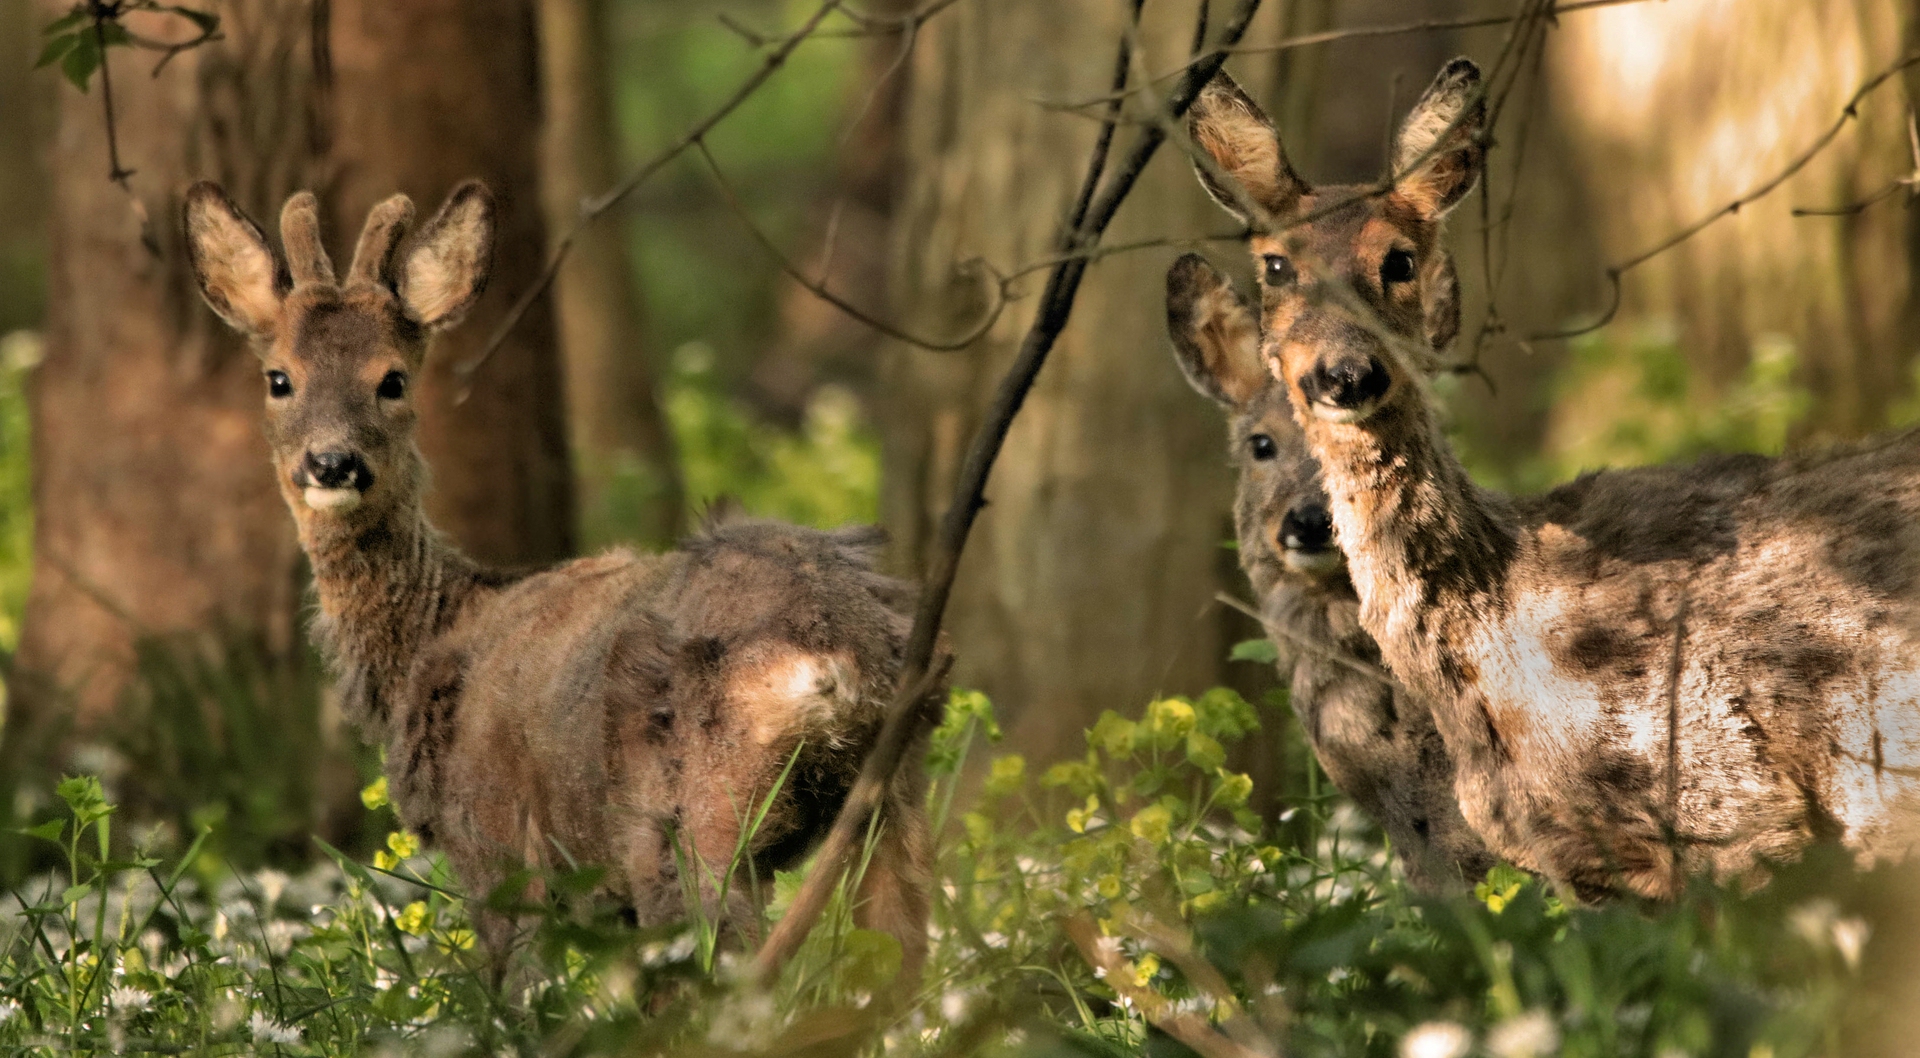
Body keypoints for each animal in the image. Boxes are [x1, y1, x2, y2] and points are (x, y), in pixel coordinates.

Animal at [183, 180, 933, 975]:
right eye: (280, 379)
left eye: (391, 379)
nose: (331, 463)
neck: (436, 629)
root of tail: (830, 658)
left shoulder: (494, 844)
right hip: (898, 797)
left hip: (696, 814)